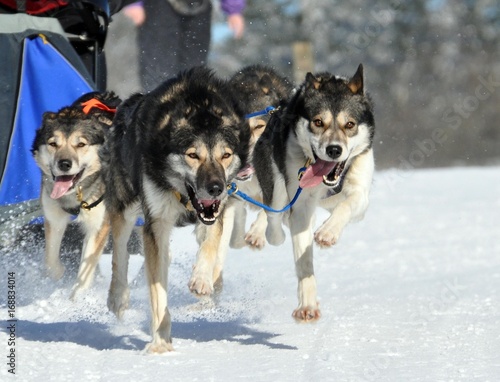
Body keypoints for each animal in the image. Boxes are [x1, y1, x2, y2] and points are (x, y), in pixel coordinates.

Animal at [31, 91, 121, 300]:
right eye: (53, 144)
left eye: (81, 144)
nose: (64, 164)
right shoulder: (53, 218)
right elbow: (51, 262)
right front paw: (58, 274)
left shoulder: (98, 225)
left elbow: (86, 267)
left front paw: (78, 297)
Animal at [101, 67, 250, 354]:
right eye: (193, 155)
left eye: (226, 155)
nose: (215, 188)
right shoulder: (156, 223)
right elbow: (158, 293)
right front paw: (160, 343)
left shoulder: (217, 211)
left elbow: (211, 244)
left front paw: (201, 279)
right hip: (124, 205)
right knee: (120, 249)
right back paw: (117, 296)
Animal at [254, 64, 376, 320]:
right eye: (318, 122)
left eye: (350, 124)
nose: (334, 150)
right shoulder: (300, 203)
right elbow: (303, 260)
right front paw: (307, 305)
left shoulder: (360, 194)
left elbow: (347, 205)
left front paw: (328, 232)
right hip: (276, 183)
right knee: (273, 217)